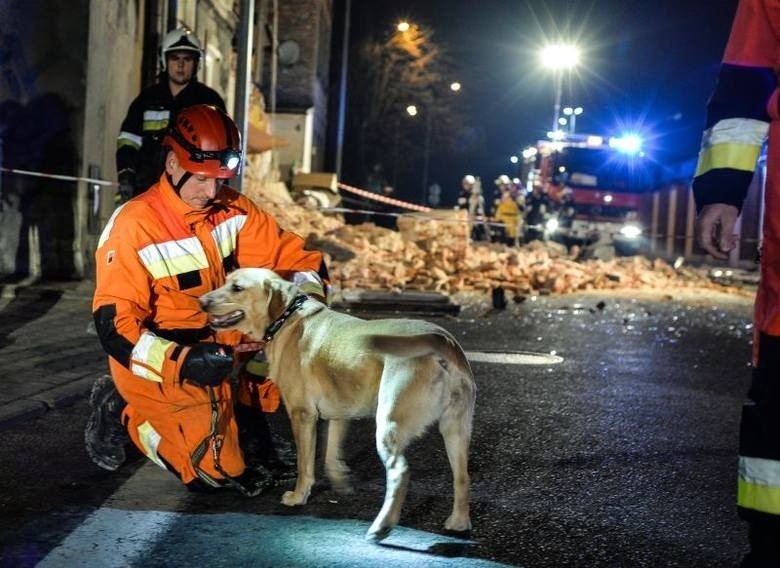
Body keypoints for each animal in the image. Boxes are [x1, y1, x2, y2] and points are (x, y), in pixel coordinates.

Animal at [200, 268, 476, 540]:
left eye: (237, 288)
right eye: (226, 280)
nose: (201, 302)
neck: (288, 319)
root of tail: (442, 340)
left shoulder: (302, 415)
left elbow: (305, 464)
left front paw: (298, 496)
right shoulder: (339, 413)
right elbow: (330, 453)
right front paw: (340, 481)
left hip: (388, 424)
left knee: (401, 472)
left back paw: (382, 525)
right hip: (455, 430)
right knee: (462, 477)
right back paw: (459, 522)